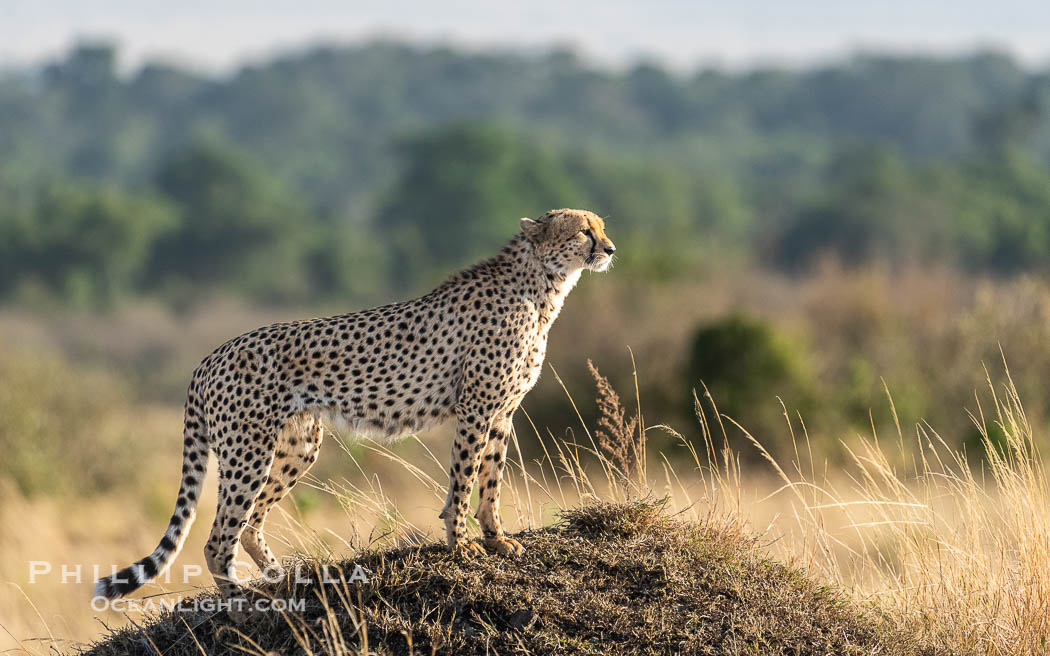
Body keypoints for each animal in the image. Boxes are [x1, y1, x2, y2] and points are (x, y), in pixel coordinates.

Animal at [94, 208, 616, 613]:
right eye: (583, 231)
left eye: (601, 227)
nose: (610, 249)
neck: (542, 287)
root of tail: (210, 356)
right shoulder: (476, 409)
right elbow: (464, 482)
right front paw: (462, 545)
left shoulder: (501, 412)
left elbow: (491, 480)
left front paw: (496, 538)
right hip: (248, 453)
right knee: (220, 536)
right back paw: (241, 599)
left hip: (297, 448)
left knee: (251, 523)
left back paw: (282, 580)